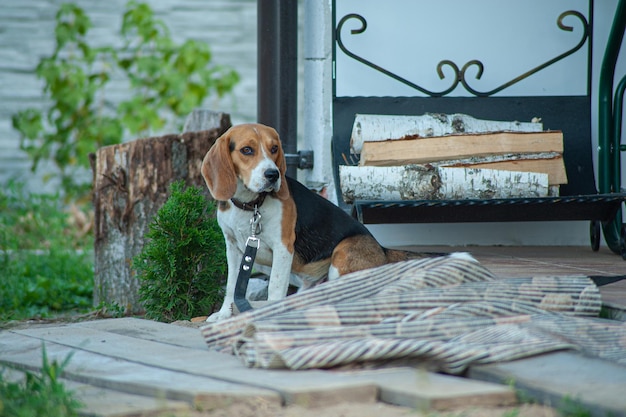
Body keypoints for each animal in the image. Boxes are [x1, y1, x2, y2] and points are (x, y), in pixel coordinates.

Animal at [202, 122, 422, 320]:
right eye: (246, 150)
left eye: (274, 148)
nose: (273, 175)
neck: (251, 205)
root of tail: (383, 250)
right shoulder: (233, 248)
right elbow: (232, 285)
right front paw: (224, 314)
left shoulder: (283, 247)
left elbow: (274, 287)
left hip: (342, 256)